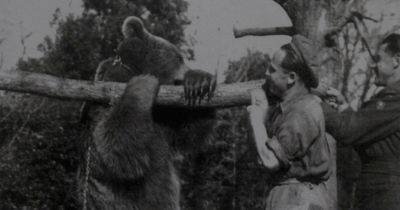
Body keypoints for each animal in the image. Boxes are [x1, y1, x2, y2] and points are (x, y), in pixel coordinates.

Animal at [79, 15, 217, 209]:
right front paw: (143, 83)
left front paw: (198, 81)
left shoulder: (162, 121)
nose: (185, 73)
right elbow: (114, 145)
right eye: (179, 57)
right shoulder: (104, 97)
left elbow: (188, 131)